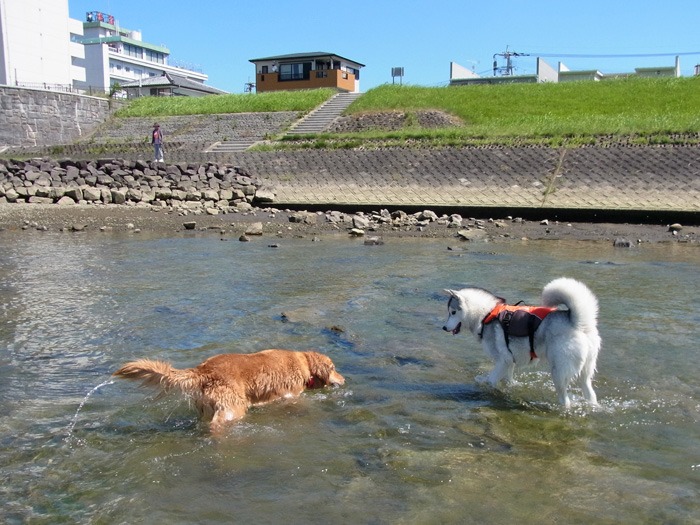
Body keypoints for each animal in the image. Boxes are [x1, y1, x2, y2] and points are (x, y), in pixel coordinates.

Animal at [442, 276, 600, 408]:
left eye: (453, 312)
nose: (444, 327)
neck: (486, 315)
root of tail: (578, 323)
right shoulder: (509, 360)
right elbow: (508, 380)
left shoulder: (503, 361)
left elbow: (490, 380)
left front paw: (484, 382)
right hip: (585, 372)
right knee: (590, 393)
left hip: (559, 371)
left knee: (565, 401)